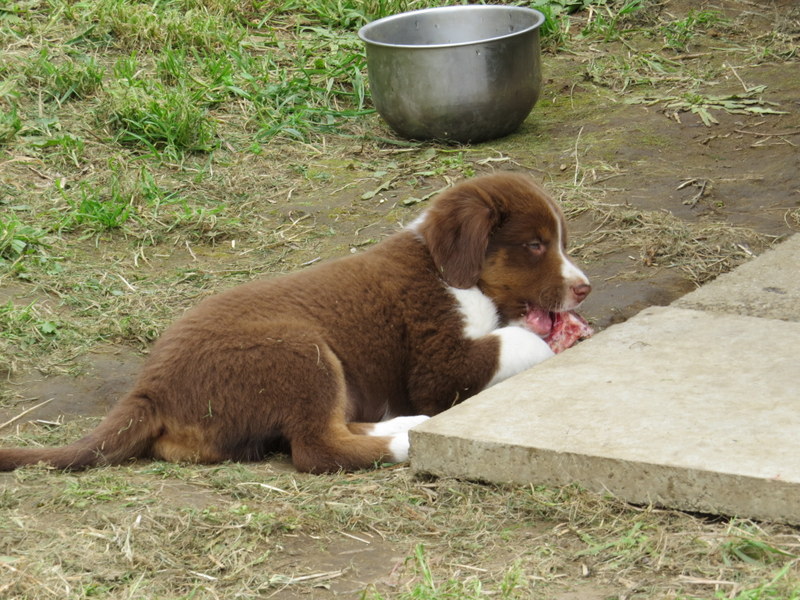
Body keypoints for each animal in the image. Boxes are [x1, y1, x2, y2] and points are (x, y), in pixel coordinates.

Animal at [0, 172, 590, 473]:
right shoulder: (439, 361)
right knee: (316, 447)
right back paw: (406, 438)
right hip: (300, 351)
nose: (584, 287)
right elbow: (514, 340)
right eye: (536, 245)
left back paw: (403, 424)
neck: (445, 267)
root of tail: (151, 387)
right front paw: (556, 337)